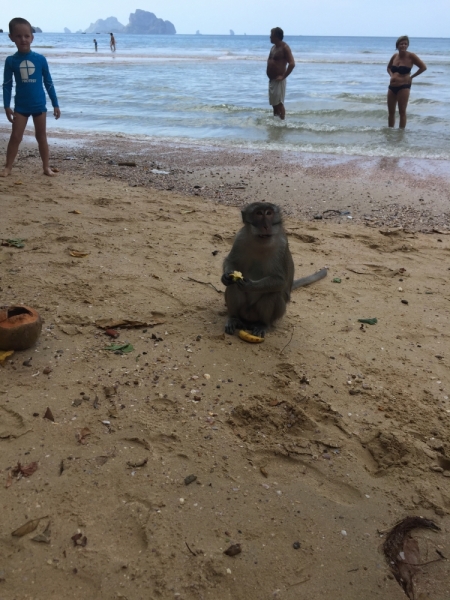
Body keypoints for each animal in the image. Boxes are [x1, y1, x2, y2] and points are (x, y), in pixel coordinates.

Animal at [221, 203, 326, 338]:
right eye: (259, 213)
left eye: (269, 213)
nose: (266, 226)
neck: (260, 242)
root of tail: (248, 320)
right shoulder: (240, 238)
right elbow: (231, 261)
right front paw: (225, 277)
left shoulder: (281, 246)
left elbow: (280, 281)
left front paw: (250, 285)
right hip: (243, 312)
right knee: (234, 285)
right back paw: (234, 318)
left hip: (272, 314)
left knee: (272, 293)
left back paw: (263, 324)